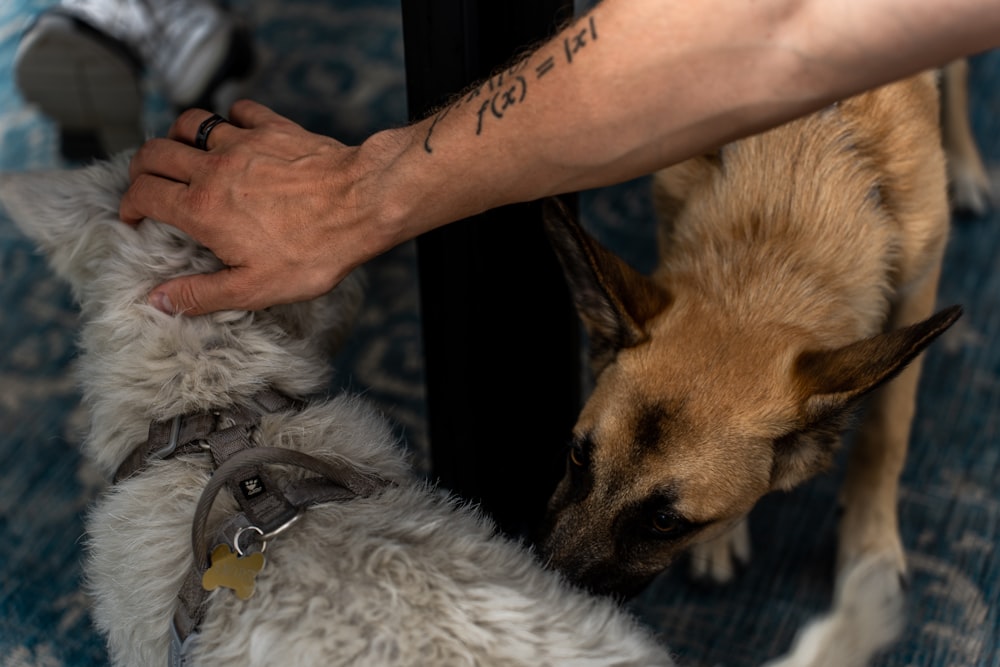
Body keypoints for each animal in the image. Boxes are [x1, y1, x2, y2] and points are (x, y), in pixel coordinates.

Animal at [536, 66, 980, 600]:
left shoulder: (917, 287)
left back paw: (967, 163)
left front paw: (869, 548)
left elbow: (885, 432)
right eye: (578, 457)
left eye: (666, 523)